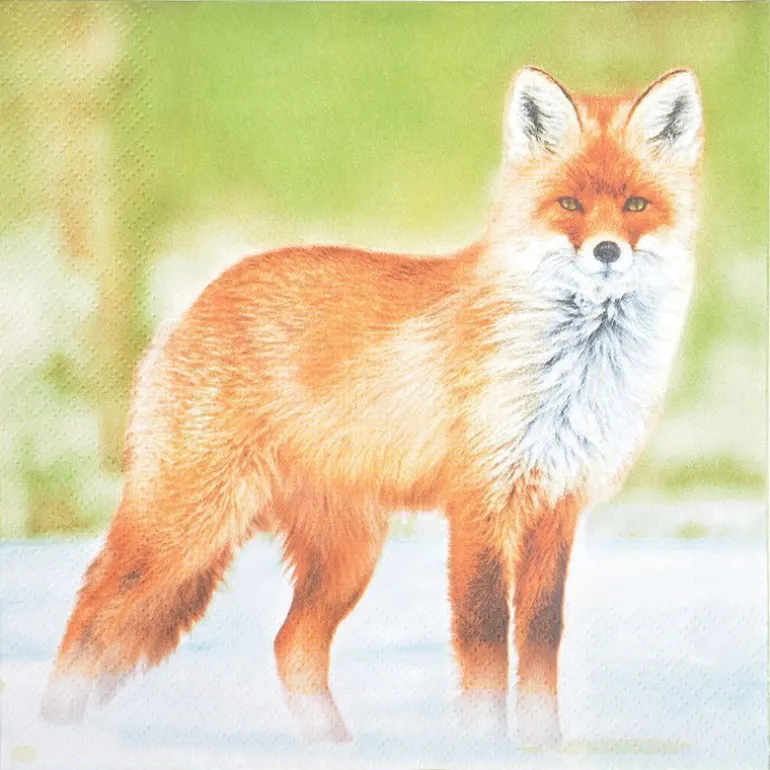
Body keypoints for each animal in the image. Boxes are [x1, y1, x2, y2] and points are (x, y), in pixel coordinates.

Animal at [42, 66, 702, 746]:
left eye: (636, 205)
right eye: (570, 204)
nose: (606, 251)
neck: (575, 369)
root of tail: (191, 305)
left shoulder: (556, 508)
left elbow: (541, 645)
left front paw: (542, 750)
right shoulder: (481, 504)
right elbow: (486, 645)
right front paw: (485, 746)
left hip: (346, 555)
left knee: (292, 647)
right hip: (183, 532)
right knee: (89, 612)